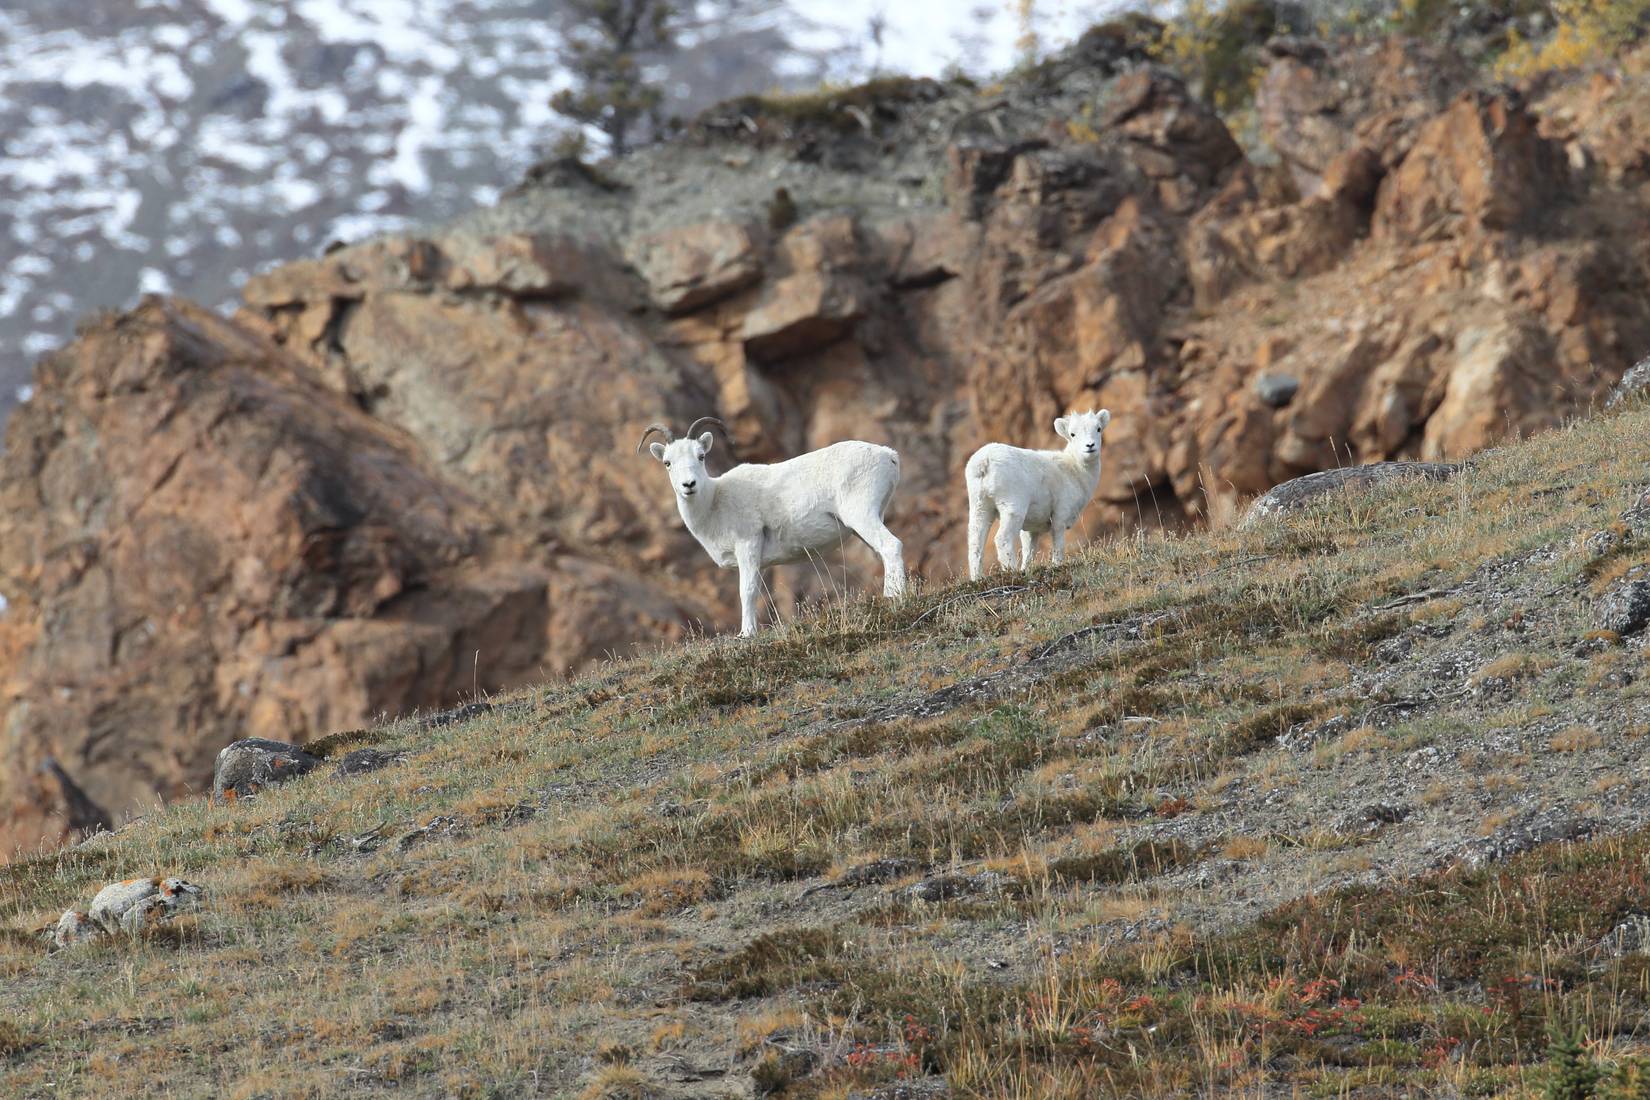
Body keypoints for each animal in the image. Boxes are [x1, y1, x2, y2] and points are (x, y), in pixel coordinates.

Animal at [639, 417, 906, 636]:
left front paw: (746, 634)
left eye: (701, 456)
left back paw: (895, 598)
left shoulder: (747, 544)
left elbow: (746, 591)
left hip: (862, 515)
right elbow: (757, 593)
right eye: (667, 463)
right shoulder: (760, 562)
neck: (715, 502)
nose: (689, 485)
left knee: (891, 546)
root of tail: (888, 455)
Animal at [966, 409, 1112, 581]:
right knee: (1002, 539)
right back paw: (1012, 572)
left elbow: (1029, 552)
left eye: (1098, 429)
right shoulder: (1060, 516)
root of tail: (984, 462)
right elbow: (1058, 546)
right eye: (1072, 434)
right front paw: (1056, 566)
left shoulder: (1031, 530)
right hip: (1013, 508)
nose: (1090, 446)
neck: (1074, 471)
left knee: (975, 543)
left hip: (980, 507)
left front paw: (1026, 571)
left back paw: (977, 579)